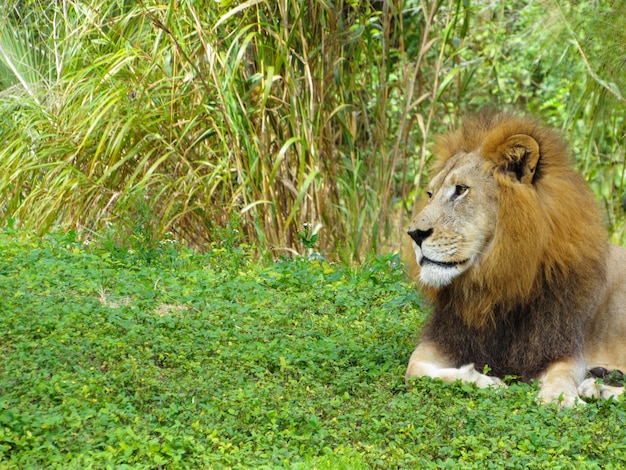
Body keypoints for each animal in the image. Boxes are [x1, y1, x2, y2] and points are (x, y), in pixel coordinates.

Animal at [402, 111, 624, 408]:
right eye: (430, 194)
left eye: (460, 190)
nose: (414, 234)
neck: (494, 281)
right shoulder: (448, 339)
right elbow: (414, 368)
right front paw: (488, 382)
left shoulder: (561, 344)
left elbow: (561, 376)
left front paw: (560, 399)